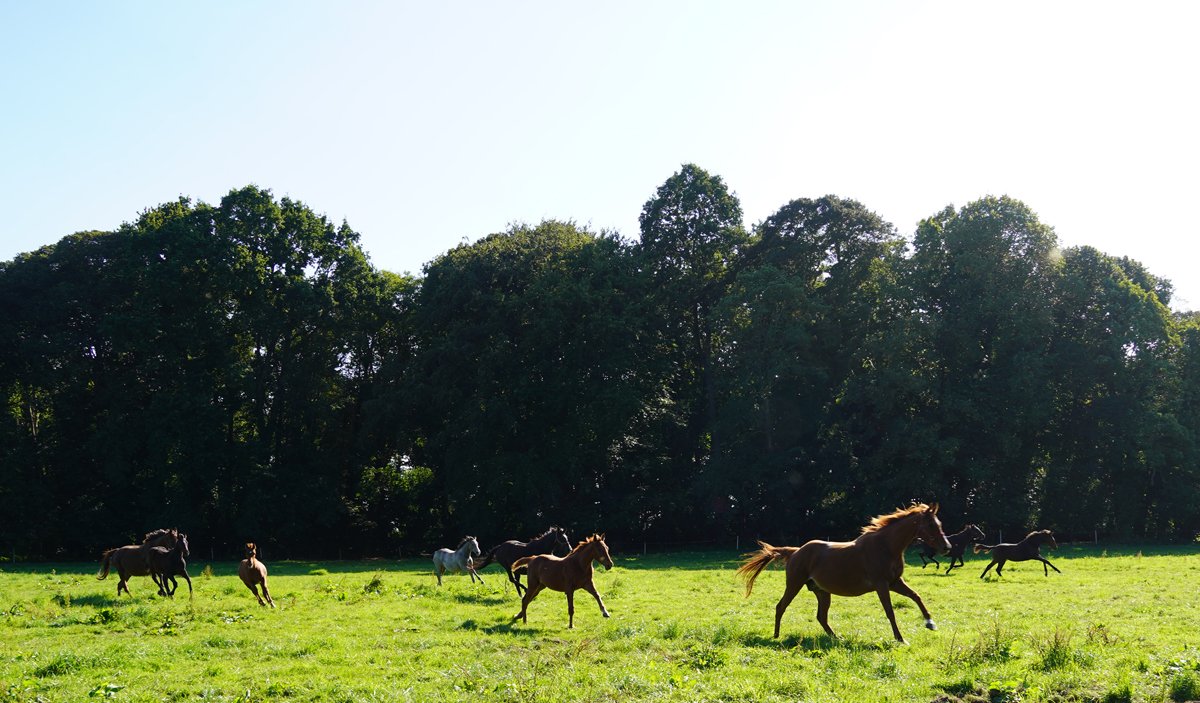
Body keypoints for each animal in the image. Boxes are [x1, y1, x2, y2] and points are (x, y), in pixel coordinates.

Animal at [737, 503, 952, 643]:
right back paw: (776, 636)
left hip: (822, 592)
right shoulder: (882, 585)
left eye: (940, 524)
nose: (947, 547)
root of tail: (796, 551)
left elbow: (917, 596)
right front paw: (900, 639)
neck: (886, 546)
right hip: (794, 585)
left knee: (821, 617)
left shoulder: (895, 582)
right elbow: (890, 611)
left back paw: (836, 638)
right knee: (781, 607)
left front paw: (930, 623)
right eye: (931, 525)